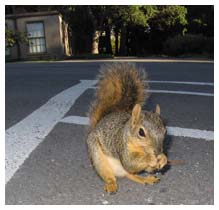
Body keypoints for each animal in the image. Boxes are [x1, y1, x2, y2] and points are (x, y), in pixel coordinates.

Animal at [86, 62, 167, 194]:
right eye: (141, 132)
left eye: (165, 131)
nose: (158, 152)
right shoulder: (122, 145)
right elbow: (129, 162)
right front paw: (150, 157)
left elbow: (148, 168)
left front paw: (163, 158)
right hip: (97, 156)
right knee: (110, 175)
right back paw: (111, 184)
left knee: (130, 174)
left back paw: (146, 179)